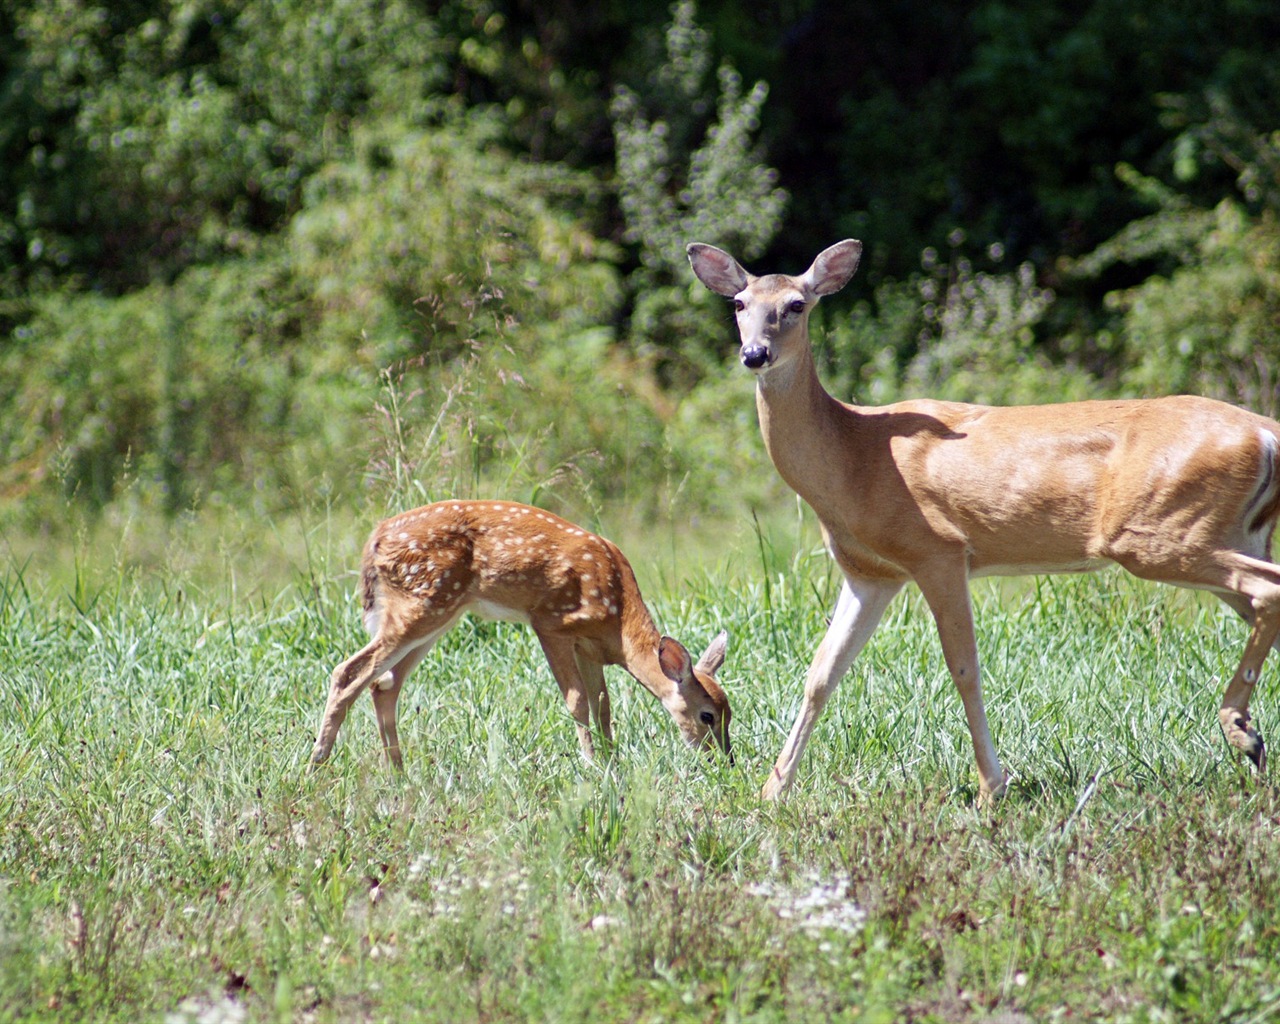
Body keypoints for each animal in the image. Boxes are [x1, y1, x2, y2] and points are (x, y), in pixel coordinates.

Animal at [308, 499, 732, 773]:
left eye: (731, 712)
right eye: (706, 715)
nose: (724, 761)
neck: (618, 624)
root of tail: (374, 539)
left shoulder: (590, 648)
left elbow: (603, 705)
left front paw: (613, 760)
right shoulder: (550, 623)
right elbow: (578, 701)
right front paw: (593, 766)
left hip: (438, 614)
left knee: (384, 684)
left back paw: (399, 774)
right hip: (420, 604)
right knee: (348, 672)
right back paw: (317, 764)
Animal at [691, 238, 1280, 798]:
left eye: (796, 304)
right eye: (739, 304)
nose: (755, 353)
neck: (853, 456)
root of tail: (1264, 430)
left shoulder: (938, 549)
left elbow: (964, 669)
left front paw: (991, 787)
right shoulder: (871, 572)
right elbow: (821, 673)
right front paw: (772, 790)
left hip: (1157, 532)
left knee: (1266, 591)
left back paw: (1239, 729)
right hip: (1231, 533)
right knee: (1260, 598)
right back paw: (1251, 739)